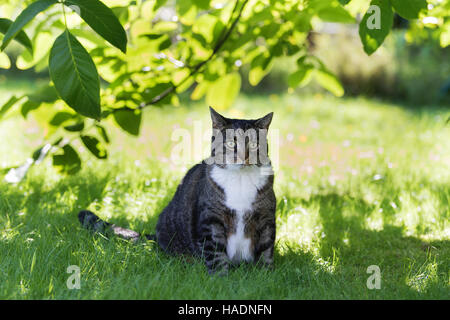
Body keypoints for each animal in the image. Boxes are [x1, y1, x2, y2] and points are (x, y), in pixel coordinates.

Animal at [79, 106, 276, 274]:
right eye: (230, 144)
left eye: (254, 145)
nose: (244, 157)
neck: (241, 180)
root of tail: (156, 237)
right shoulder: (211, 219)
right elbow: (215, 252)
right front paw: (221, 278)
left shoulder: (266, 217)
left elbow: (266, 248)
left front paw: (264, 274)